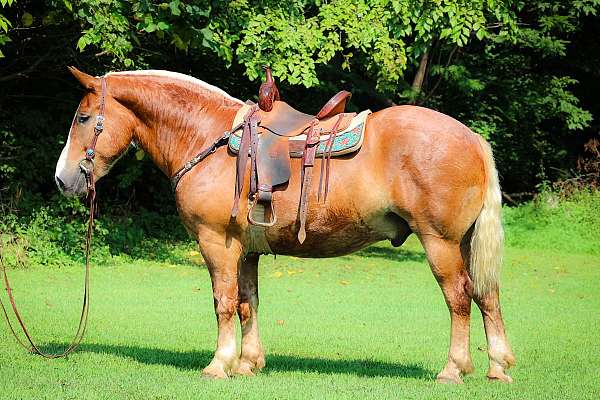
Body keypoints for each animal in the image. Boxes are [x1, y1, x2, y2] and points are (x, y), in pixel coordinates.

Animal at [56, 68, 516, 384]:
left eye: (83, 118)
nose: (63, 179)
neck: (207, 138)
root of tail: (472, 138)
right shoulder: (245, 249)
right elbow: (247, 303)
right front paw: (247, 363)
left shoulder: (216, 242)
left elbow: (223, 302)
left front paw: (219, 364)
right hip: (466, 242)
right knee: (487, 295)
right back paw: (497, 367)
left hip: (440, 242)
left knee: (459, 297)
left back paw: (454, 369)